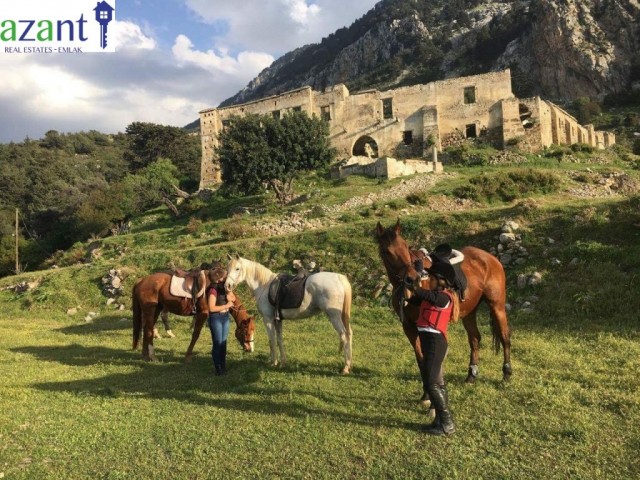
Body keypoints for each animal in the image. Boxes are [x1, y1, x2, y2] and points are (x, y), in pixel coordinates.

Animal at [224, 255, 356, 376]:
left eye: (237, 268)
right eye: (227, 268)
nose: (227, 286)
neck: (263, 285)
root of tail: (339, 278)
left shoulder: (268, 319)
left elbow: (271, 340)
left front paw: (273, 362)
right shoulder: (277, 320)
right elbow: (279, 339)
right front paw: (282, 362)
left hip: (334, 316)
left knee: (344, 335)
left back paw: (345, 368)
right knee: (349, 333)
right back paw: (349, 365)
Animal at [372, 221, 512, 390]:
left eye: (405, 246)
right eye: (386, 252)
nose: (412, 278)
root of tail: (491, 259)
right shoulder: (408, 326)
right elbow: (420, 358)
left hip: (497, 306)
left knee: (505, 337)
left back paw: (506, 374)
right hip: (469, 312)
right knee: (475, 339)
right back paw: (471, 375)